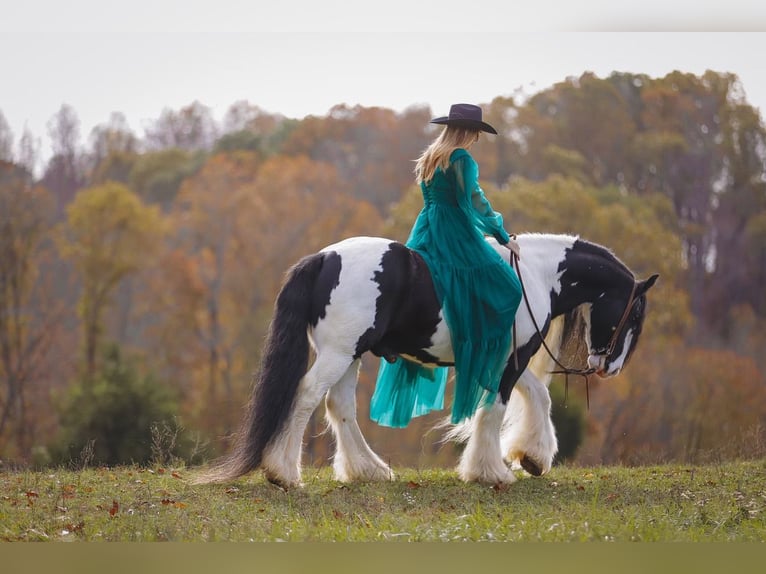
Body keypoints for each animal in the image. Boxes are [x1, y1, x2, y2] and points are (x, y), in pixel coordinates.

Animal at [194, 234, 660, 490]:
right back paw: (284, 473)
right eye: (636, 314)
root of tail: (324, 258)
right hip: (338, 354)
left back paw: (367, 470)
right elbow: (495, 411)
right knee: (307, 397)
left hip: (348, 355)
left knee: (339, 407)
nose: (609, 367)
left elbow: (537, 399)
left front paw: (533, 458)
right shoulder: (511, 360)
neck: (533, 275)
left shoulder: (513, 359)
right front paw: (489, 471)